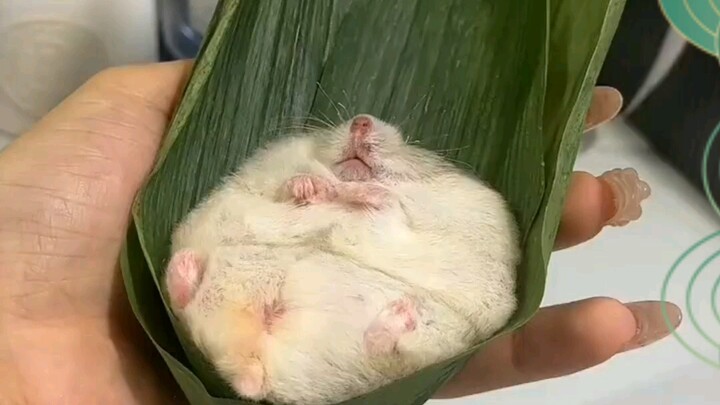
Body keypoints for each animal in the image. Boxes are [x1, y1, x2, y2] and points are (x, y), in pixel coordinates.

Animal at [163, 114, 521, 405]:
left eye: (410, 142)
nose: (361, 120)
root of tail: (257, 360)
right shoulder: (263, 180)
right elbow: (283, 188)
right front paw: (306, 187)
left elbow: (391, 207)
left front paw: (323, 192)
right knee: (191, 311)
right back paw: (186, 268)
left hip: (435, 336)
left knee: (384, 348)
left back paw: (398, 314)